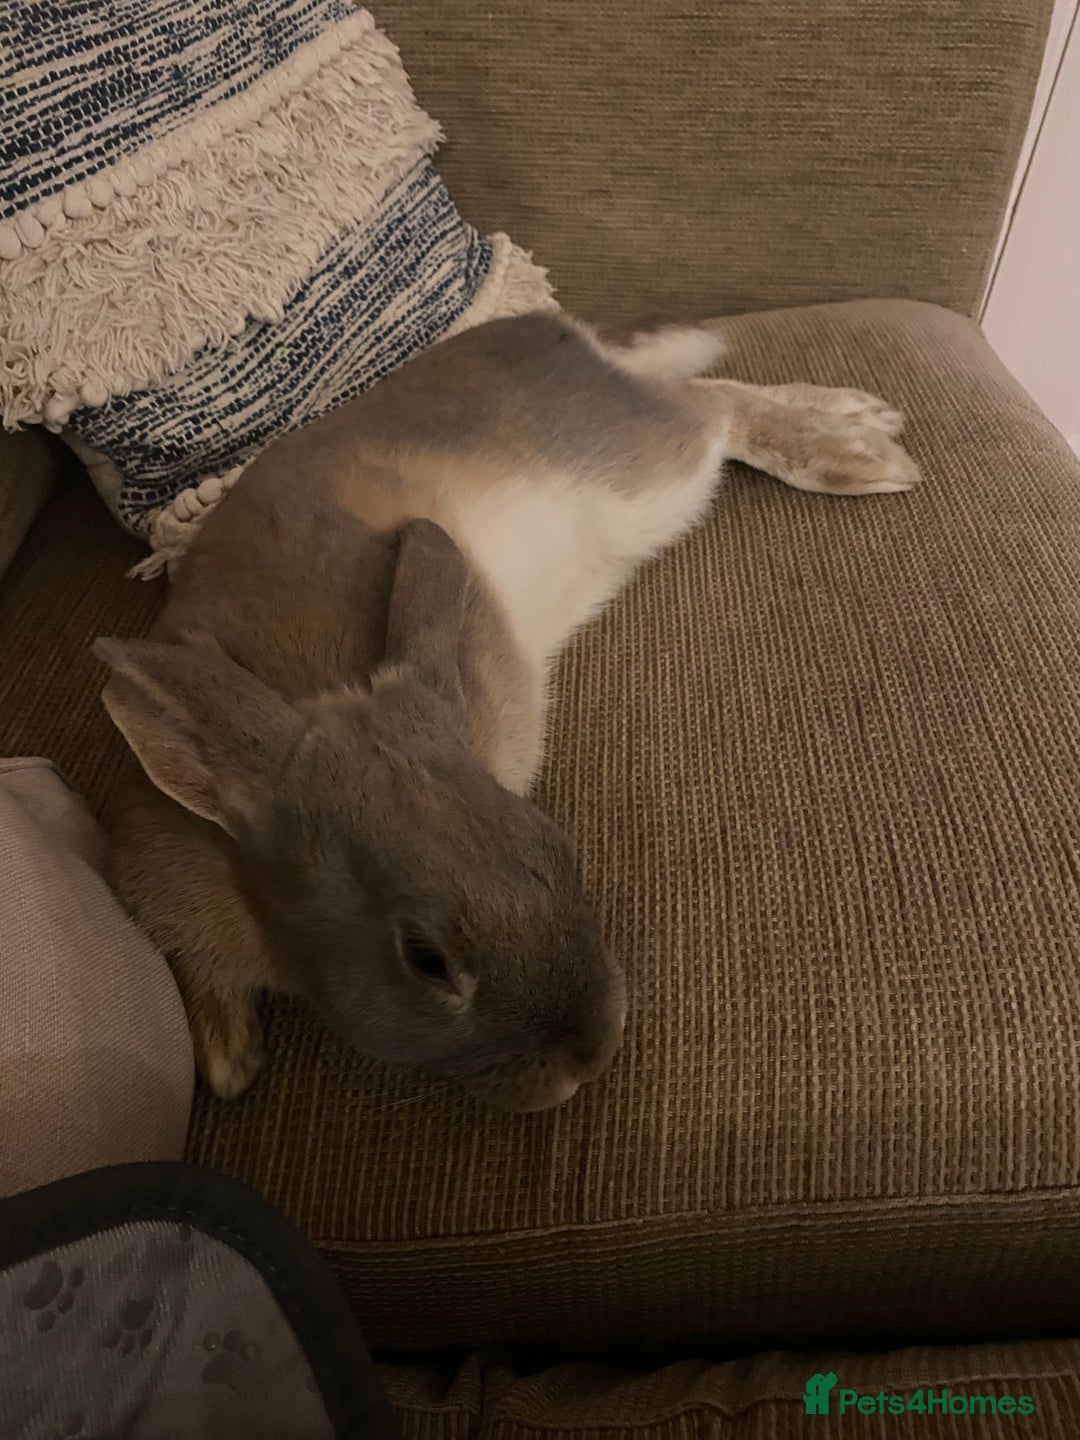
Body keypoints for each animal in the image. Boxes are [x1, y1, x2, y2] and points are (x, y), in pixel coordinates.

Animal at [95, 310, 918, 1110]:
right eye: (426, 960)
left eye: (556, 854)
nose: (592, 1054)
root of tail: (553, 327)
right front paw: (227, 1060)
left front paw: (227, 1061)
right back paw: (864, 420)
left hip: (638, 478)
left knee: (711, 405)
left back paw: (867, 455)